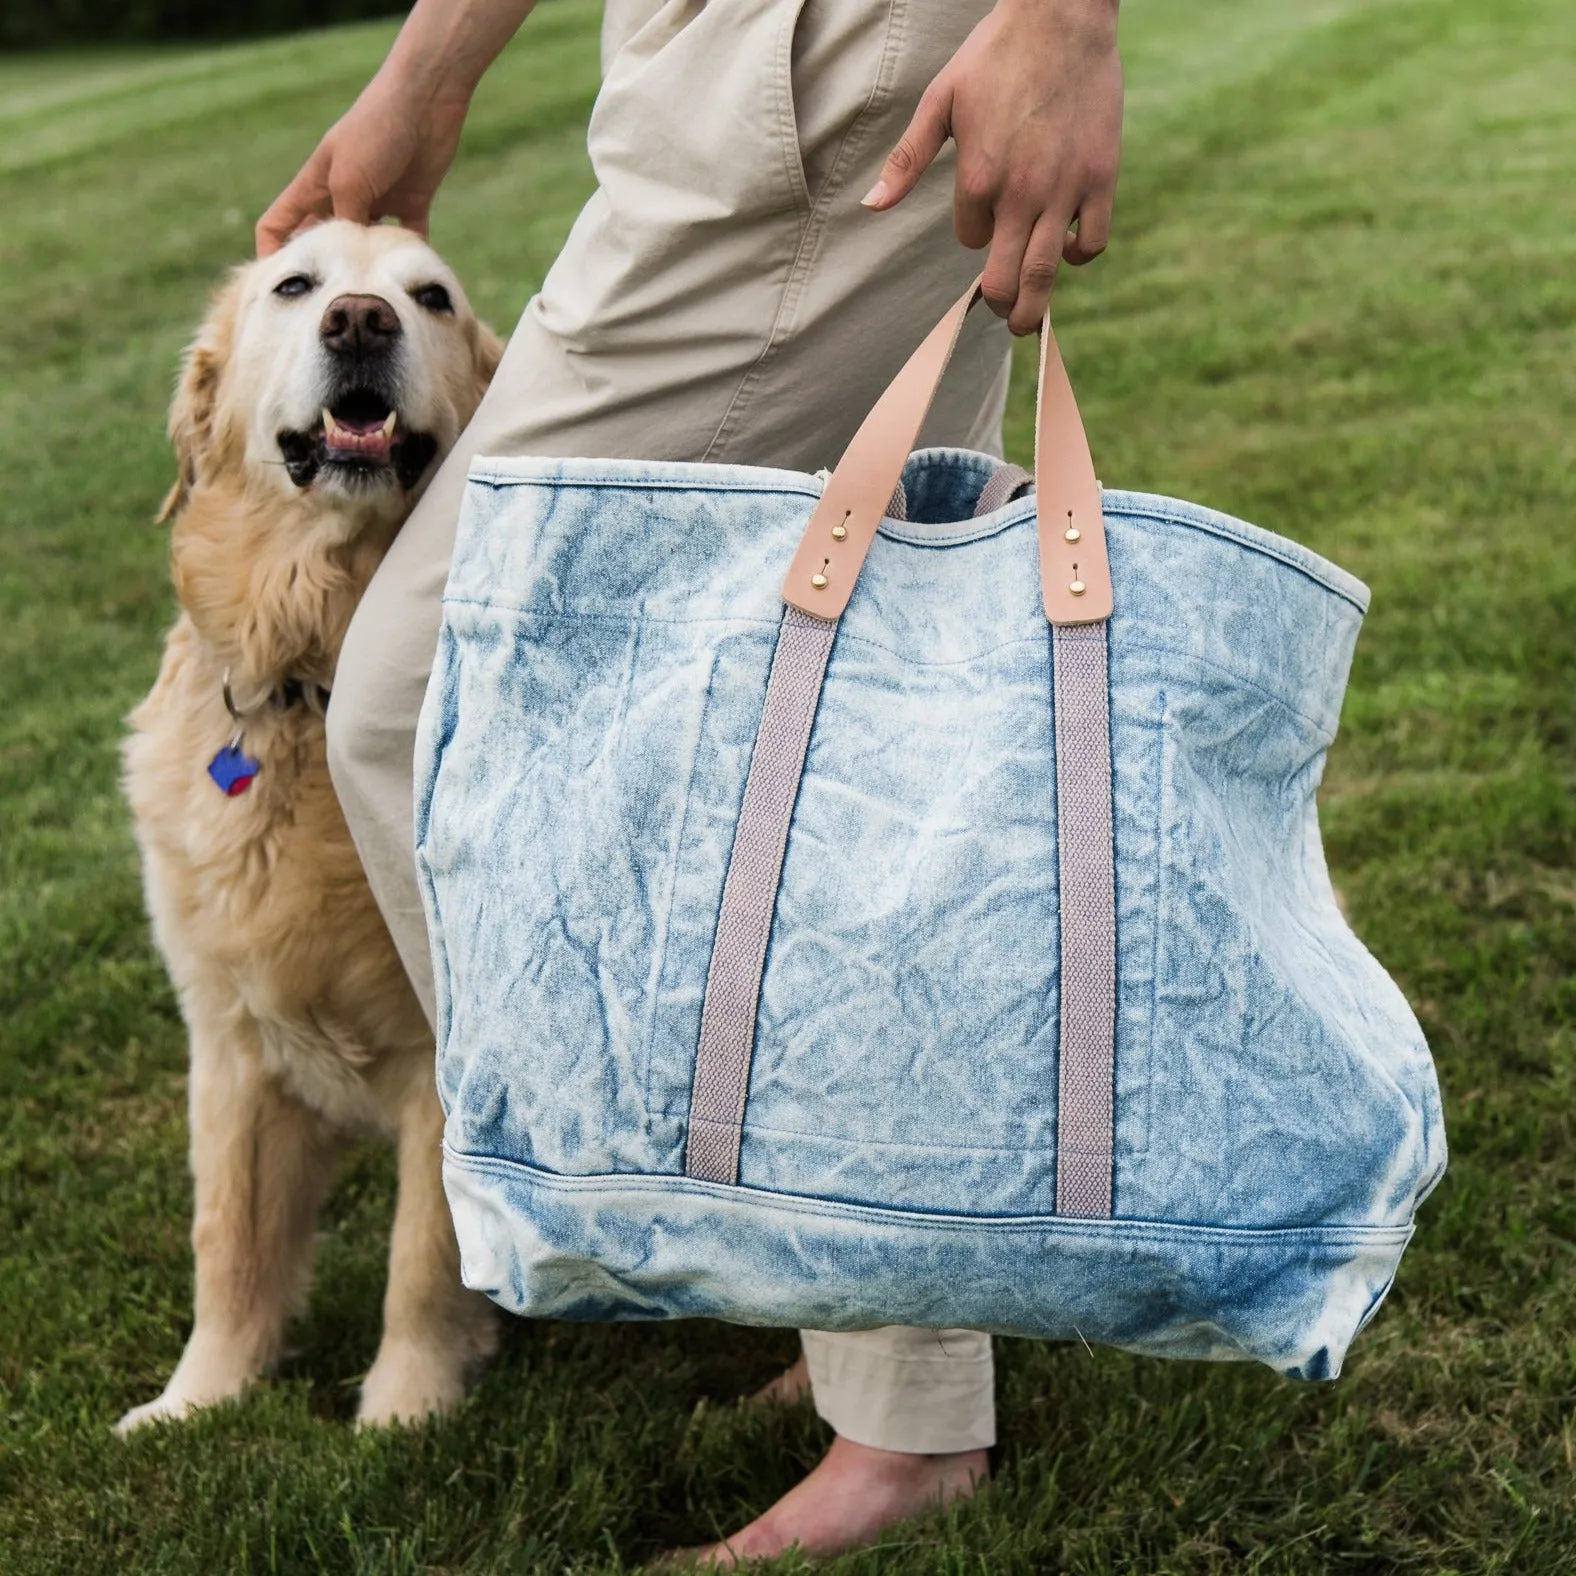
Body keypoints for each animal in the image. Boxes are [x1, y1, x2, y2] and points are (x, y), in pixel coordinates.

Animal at [122, 215, 504, 1437]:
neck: (311, 685)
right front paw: (198, 1399)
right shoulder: (232, 1044)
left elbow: (423, 1255)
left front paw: (405, 1412)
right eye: (297, 285)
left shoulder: (441, 1054)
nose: (361, 322)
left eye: (430, 299)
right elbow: (229, 1243)